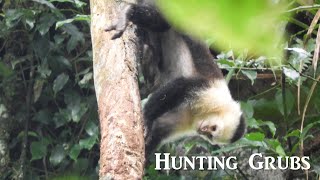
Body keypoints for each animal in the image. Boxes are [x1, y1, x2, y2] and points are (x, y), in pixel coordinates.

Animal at [104, 0, 246, 155]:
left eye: (210, 136)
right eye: (213, 129)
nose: (203, 131)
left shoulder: (188, 122)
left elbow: (159, 130)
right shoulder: (208, 93)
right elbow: (181, 87)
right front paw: (146, 119)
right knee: (165, 22)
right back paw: (128, 13)